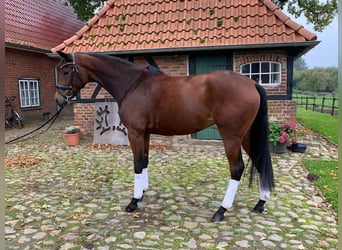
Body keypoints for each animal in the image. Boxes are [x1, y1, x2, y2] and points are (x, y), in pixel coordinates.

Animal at [56, 51, 276, 222]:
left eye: (66, 71)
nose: (59, 99)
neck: (132, 84)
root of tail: (252, 83)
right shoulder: (144, 133)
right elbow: (144, 161)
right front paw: (142, 192)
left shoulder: (135, 132)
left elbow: (137, 163)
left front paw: (133, 202)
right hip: (246, 135)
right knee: (259, 161)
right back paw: (260, 203)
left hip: (231, 136)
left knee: (236, 169)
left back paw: (221, 211)